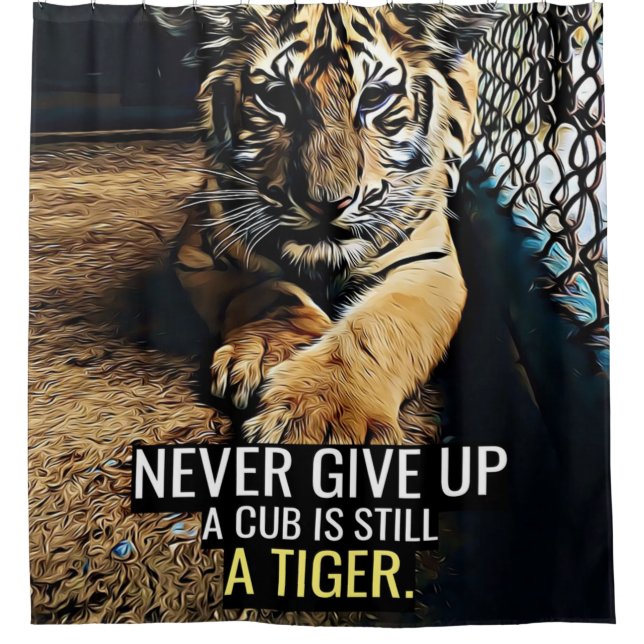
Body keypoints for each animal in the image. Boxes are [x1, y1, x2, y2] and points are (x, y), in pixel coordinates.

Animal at [171, 4, 499, 445]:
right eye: (277, 98)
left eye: (374, 97)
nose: (327, 204)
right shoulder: (202, 247)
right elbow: (269, 291)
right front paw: (265, 352)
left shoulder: (428, 262)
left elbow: (378, 327)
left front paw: (318, 416)